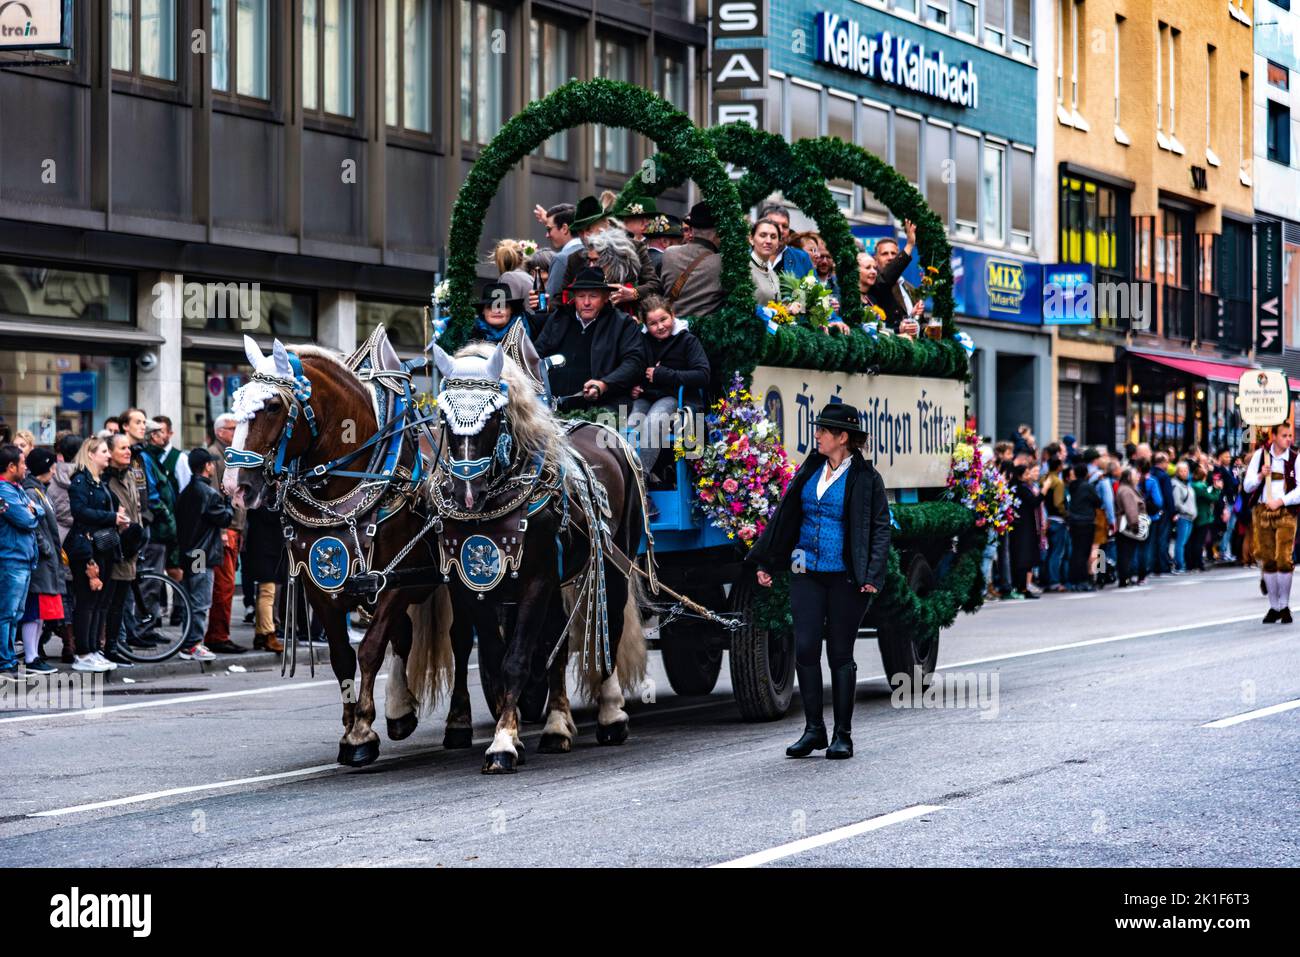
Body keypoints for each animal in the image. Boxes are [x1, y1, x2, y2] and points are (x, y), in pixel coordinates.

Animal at [228, 332, 457, 764]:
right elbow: (341, 656)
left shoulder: (392, 580)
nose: (235, 486)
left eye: (272, 405)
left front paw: (362, 733)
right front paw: (353, 727)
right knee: (405, 635)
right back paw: (401, 712)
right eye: (236, 402)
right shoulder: (322, 587)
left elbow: (370, 649)